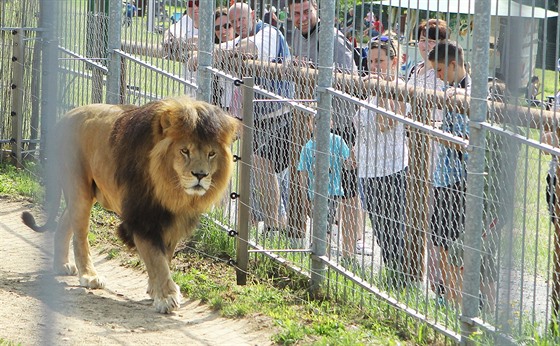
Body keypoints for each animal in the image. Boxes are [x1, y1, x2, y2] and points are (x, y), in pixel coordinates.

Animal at [21, 94, 238, 314]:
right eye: (185, 151)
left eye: (211, 153)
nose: (201, 175)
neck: (173, 190)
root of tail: (64, 117)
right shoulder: (141, 219)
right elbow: (157, 260)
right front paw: (166, 297)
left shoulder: (172, 222)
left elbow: (164, 258)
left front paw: (154, 290)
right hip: (79, 189)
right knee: (80, 235)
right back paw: (89, 275)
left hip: (89, 193)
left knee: (65, 222)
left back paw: (61, 264)